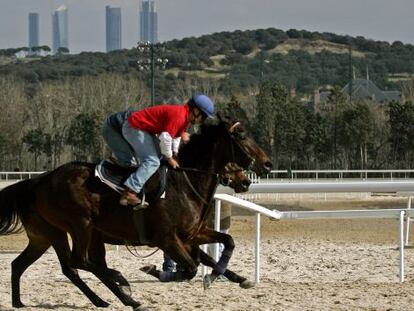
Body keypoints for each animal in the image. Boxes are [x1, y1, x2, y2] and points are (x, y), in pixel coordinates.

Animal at [0, 116, 272, 310]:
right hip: (77, 226)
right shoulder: (168, 238)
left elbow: (225, 243)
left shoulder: (192, 234)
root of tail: (39, 181)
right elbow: (192, 266)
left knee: (28, 264)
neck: (183, 181)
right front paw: (155, 271)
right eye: (241, 135)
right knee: (77, 263)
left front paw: (234, 278)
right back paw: (123, 290)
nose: (266, 164)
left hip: (46, 236)